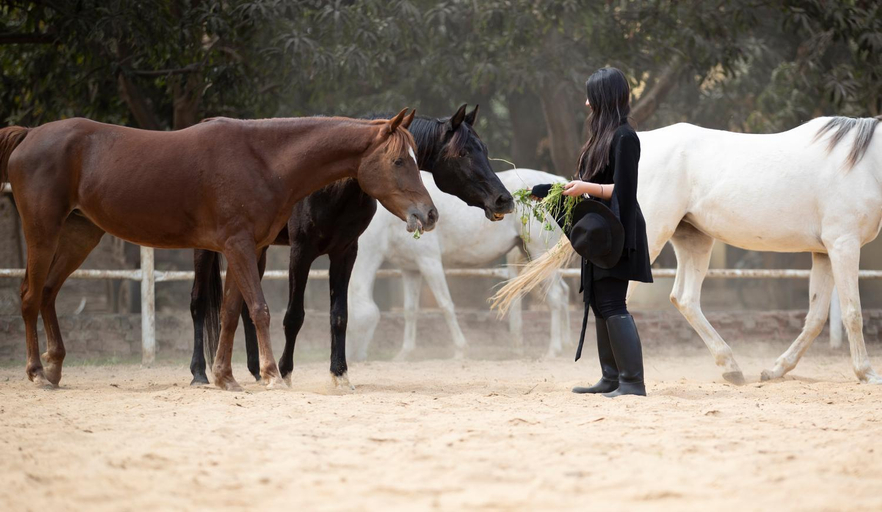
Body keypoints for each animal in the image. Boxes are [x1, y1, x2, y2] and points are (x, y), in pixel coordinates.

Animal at [0, 109, 438, 390]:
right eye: (399, 162)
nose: (429, 213)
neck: (262, 159)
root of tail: (30, 135)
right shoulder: (242, 246)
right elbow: (259, 309)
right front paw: (271, 374)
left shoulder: (242, 247)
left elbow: (229, 313)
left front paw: (226, 377)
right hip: (42, 233)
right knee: (29, 295)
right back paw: (37, 372)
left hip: (79, 236)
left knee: (48, 293)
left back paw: (55, 370)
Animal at [189, 104, 516, 389]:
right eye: (463, 152)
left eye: (484, 150)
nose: (504, 199)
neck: (333, 184)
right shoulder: (301, 252)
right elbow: (294, 316)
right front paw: (286, 372)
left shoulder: (345, 253)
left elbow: (339, 315)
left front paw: (339, 374)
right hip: (210, 249)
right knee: (198, 303)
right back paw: (200, 373)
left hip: (257, 248)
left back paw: (256, 372)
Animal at [346, 168, 571, 362]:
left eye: (350, 324)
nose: (352, 358)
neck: (391, 222)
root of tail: (559, 182)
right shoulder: (410, 269)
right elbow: (410, 310)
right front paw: (404, 354)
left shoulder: (429, 262)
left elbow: (445, 305)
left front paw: (460, 350)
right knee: (563, 293)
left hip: (539, 251)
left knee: (555, 297)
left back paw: (553, 350)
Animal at [633, 116, 882, 385]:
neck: (866, 165)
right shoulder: (844, 244)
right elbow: (852, 313)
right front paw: (867, 373)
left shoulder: (824, 253)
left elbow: (815, 318)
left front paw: (776, 370)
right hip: (653, 236)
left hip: (694, 240)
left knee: (685, 299)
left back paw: (731, 368)